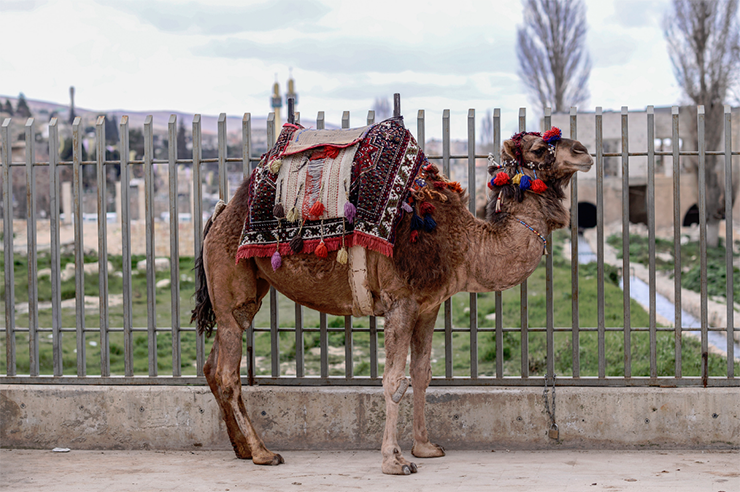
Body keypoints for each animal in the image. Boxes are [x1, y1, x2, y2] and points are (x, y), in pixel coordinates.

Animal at [191, 127, 593, 475]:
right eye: (538, 149)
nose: (583, 151)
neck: (464, 244)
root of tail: (219, 214)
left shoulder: (429, 305)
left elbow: (422, 374)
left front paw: (426, 447)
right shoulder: (401, 300)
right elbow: (393, 380)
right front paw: (395, 461)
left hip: (247, 289)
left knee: (212, 365)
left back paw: (241, 449)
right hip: (231, 284)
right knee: (228, 372)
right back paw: (263, 452)